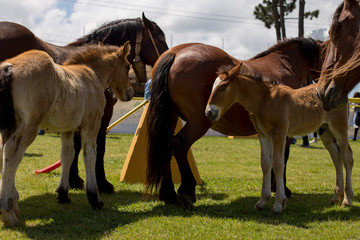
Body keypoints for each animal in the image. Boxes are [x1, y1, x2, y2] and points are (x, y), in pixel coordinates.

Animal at [0, 12, 169, 193]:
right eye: (160, 39)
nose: (168, 59)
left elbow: (76, 145)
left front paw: (73, 179)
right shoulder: (101, 114)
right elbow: (98, 145)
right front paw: (101, 183)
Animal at [0, 43, 131, 227]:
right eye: (127, 66)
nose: (130, 93)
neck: (92, 74)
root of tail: (9, 67)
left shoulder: (67, 128)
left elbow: (67, 155)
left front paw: (63, 194)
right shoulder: (92, 124)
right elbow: (90, 155)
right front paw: (95, 198)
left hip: (10, 126)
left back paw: (13, 204)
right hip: (29, 125)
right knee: (12, 154)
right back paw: (8, 212)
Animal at [146, 38, 324, 208]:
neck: (285, 64)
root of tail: (175, 53)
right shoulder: (283, 132)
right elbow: (282, 159)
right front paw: (283, 190)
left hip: (170, 117)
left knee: (166, 146)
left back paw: (169, 195)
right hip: (199, 122)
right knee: (179, 144)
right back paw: (187, 192)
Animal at [207, 63, 352, 214]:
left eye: (223, 87)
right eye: (212, 87)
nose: (209, 112)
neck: (265, 101)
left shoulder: (279, 134)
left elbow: (278, 164)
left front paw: (278, 204)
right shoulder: (263, 135)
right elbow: (265, 164)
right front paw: (262, 201)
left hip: (339, 128)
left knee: (347, 157)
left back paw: (347, 200)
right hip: (325, 131)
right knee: (336, 158)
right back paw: (336, 198)